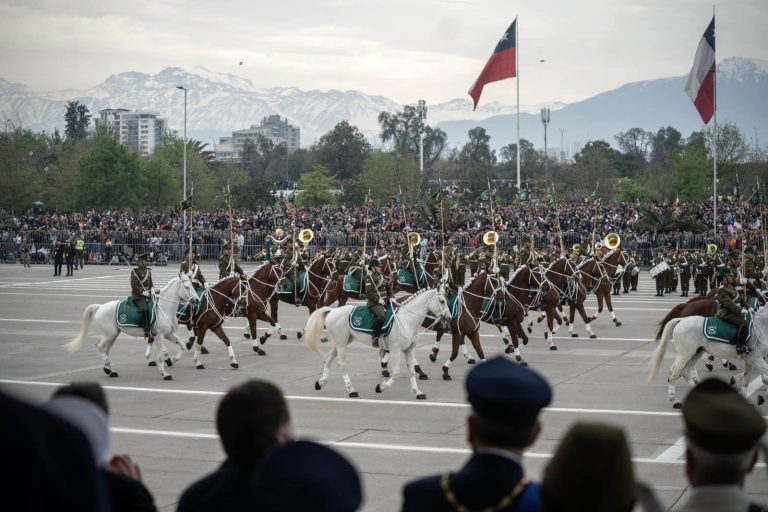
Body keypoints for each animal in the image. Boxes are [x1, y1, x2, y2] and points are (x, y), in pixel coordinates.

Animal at [64, 276, 200, 380]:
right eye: (187, 287)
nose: (197, 300)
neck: (164, 307)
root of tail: (100, 307)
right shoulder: (159, 335)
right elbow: (162, 353)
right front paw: (165, 373)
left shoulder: (168, 334)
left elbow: (182, 345)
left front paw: (174, 359)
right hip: (110, 334)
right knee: (100, 346)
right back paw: (108, 368)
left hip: (113, 335)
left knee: (106, 349)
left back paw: (109, 370)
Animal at [304, 284, 452, 400]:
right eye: (442, 301)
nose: (450, 318)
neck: (406, 320)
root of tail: (332, 311)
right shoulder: (395, 350)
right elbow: (396, 372)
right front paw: (381, 387)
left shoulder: (409, 350)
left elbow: (411, 371)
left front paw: (418, 392)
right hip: (341, 344)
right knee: (342, 364)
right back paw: (351, 390)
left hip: (341, 342)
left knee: (328, 358)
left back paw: (321, 382)